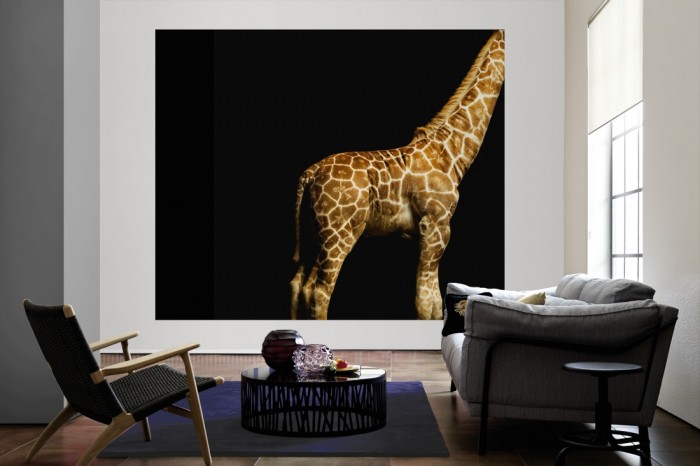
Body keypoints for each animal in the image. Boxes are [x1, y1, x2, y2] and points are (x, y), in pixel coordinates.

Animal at [290, 29, 505, 320]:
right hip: (339, 234)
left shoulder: (428, 230)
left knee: (298, 285)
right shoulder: (436, 223)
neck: (450, 152)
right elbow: (425, 302)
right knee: (319, 291)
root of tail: (309, 174)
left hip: (313, 235)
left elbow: (434, 301)